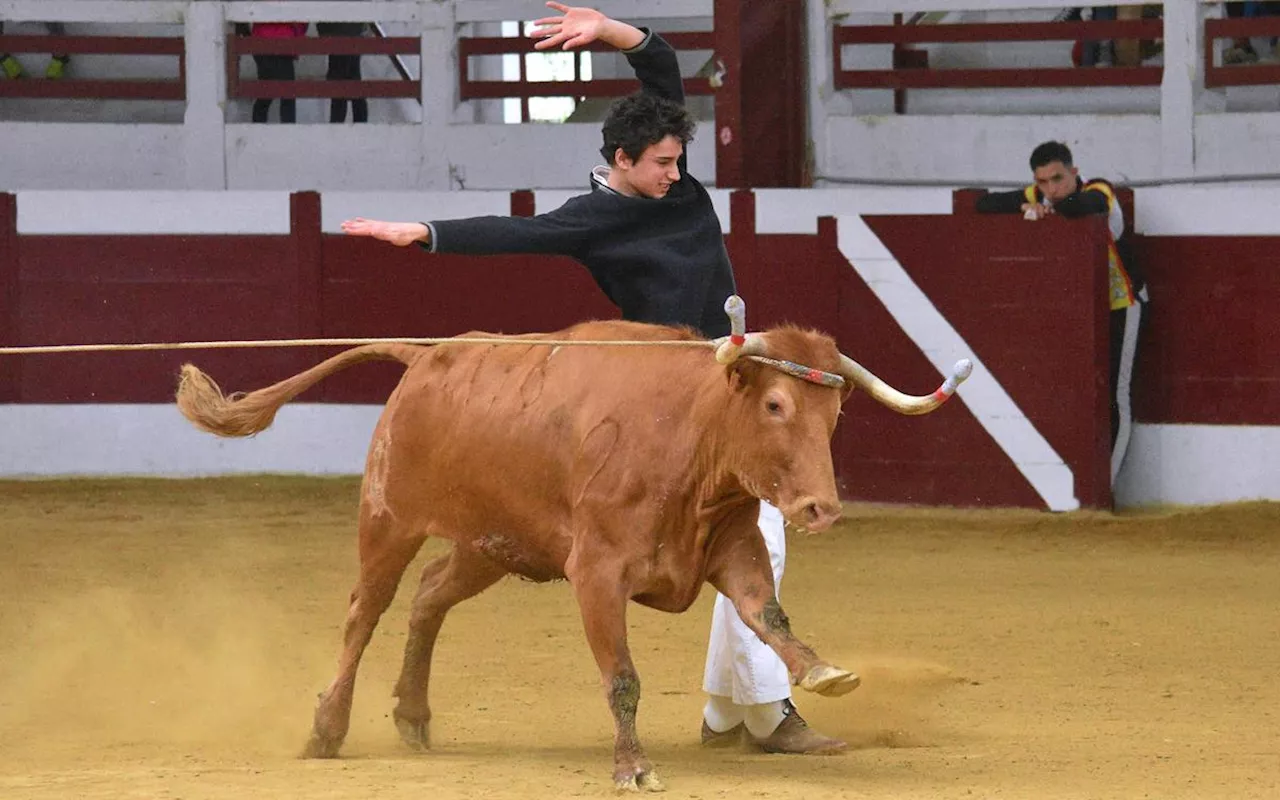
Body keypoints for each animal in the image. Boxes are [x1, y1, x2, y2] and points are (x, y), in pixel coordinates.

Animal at [175, 314, 962, 788]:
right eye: (775, 406)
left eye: (834, 414)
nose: (820, 509)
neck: (689, 433)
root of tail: (427, 355)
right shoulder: (596, 573)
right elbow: (623, 678)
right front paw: (634, 768)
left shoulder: (732, 544)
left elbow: (767, 615)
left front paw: (823, 672)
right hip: (388, 517)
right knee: (363, 611)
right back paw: (327, 729)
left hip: (490, 545)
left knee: (429, 594)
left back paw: (414, 716)